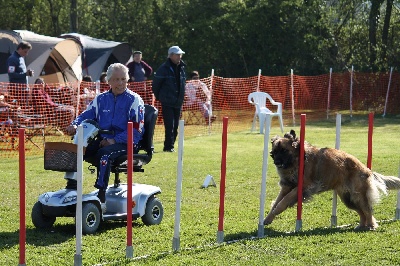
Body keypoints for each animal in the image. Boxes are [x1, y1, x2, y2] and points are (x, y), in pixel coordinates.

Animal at [262, 130, 400, 230]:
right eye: (273, 153)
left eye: (284, 151)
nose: (277, 162)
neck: (299, 160)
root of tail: (367, 170)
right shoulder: (287, 187)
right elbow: (277, 202)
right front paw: (268, 218)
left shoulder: (303, 186)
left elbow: (284, 201)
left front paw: (275, 212)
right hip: (348, 199)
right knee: (362, 212)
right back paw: (361, 225)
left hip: (358, 196)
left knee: (367, 210)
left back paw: (371, 226)